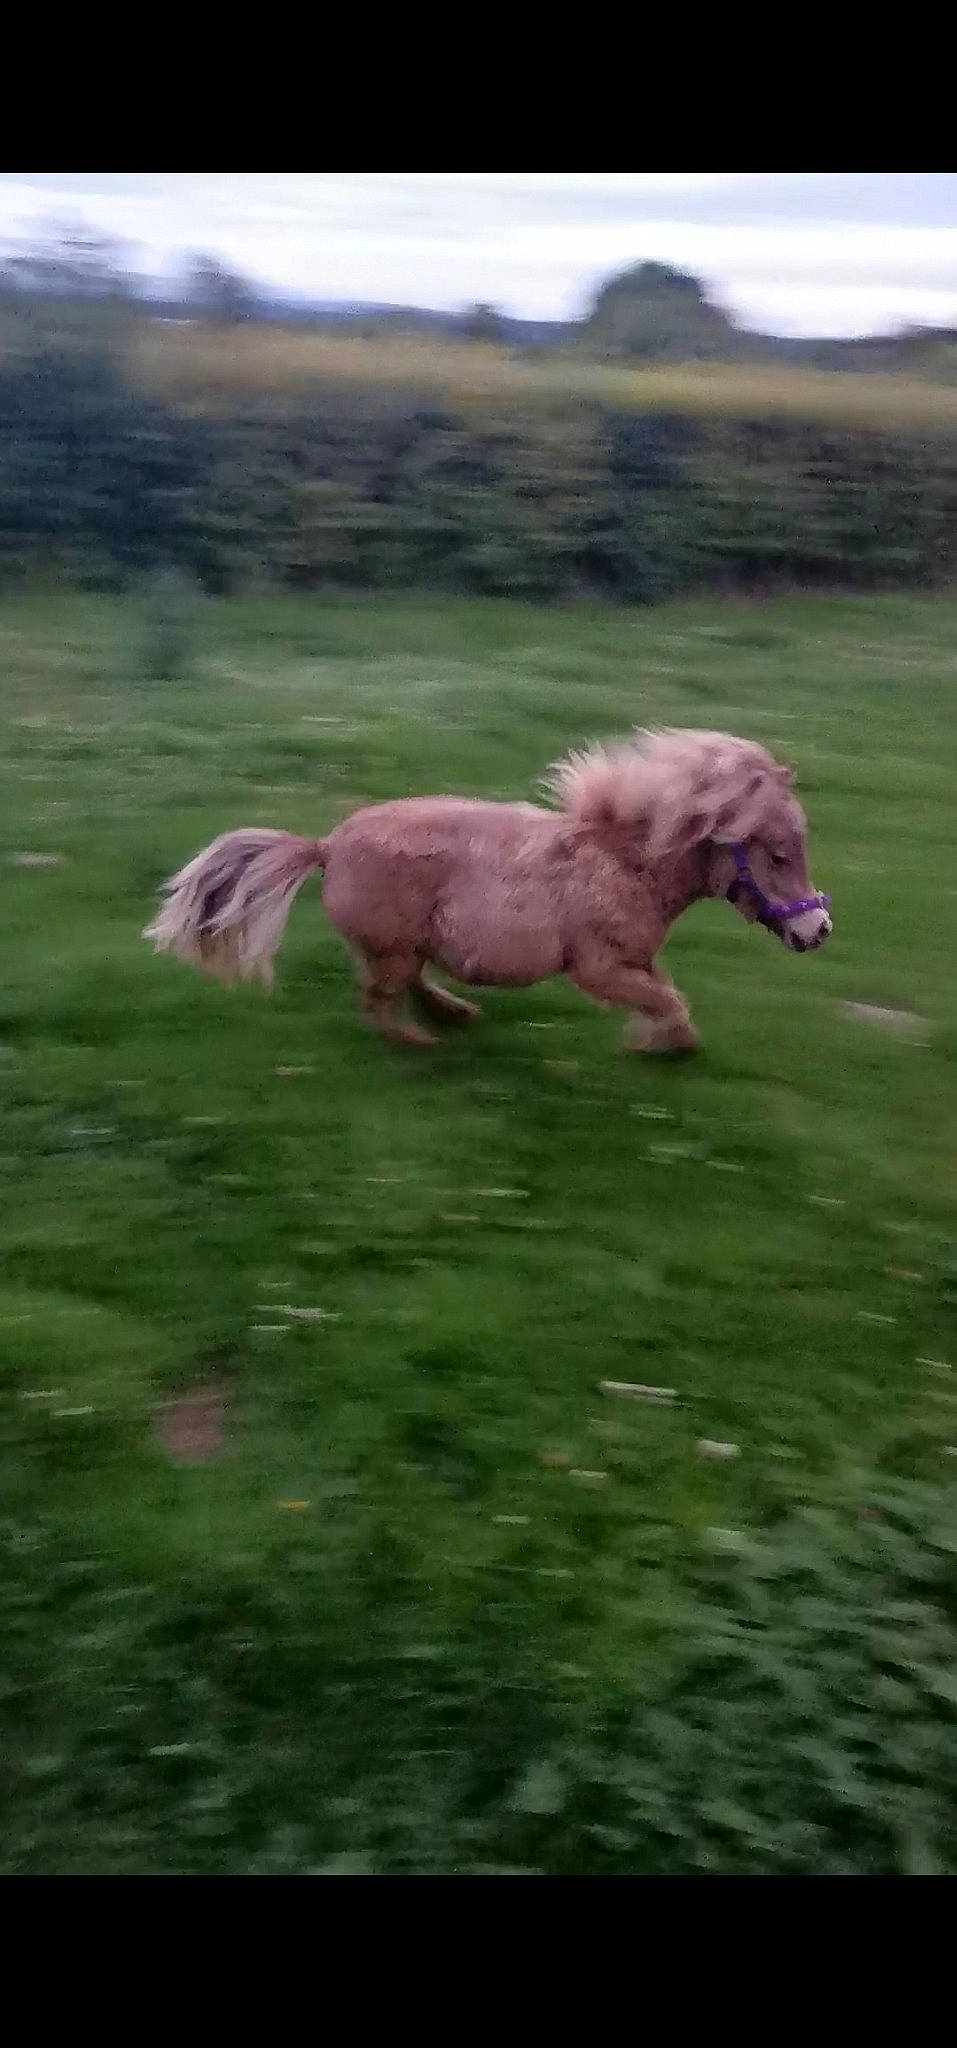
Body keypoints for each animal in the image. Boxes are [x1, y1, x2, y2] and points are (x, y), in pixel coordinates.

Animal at [143, 728, 831, 1054]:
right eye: (778, 855)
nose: (819, 931)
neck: (626, 862)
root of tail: (326, 847)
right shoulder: (600, 968)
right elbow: (668, 1003)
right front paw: (656, 1045)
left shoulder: (635, 960)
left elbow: (667, 997)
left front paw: (661, 1040)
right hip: (394, 950)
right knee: (377, 1005)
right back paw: (424, 1041)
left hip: (403, 948)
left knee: (401, 988)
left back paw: (456, 1014)